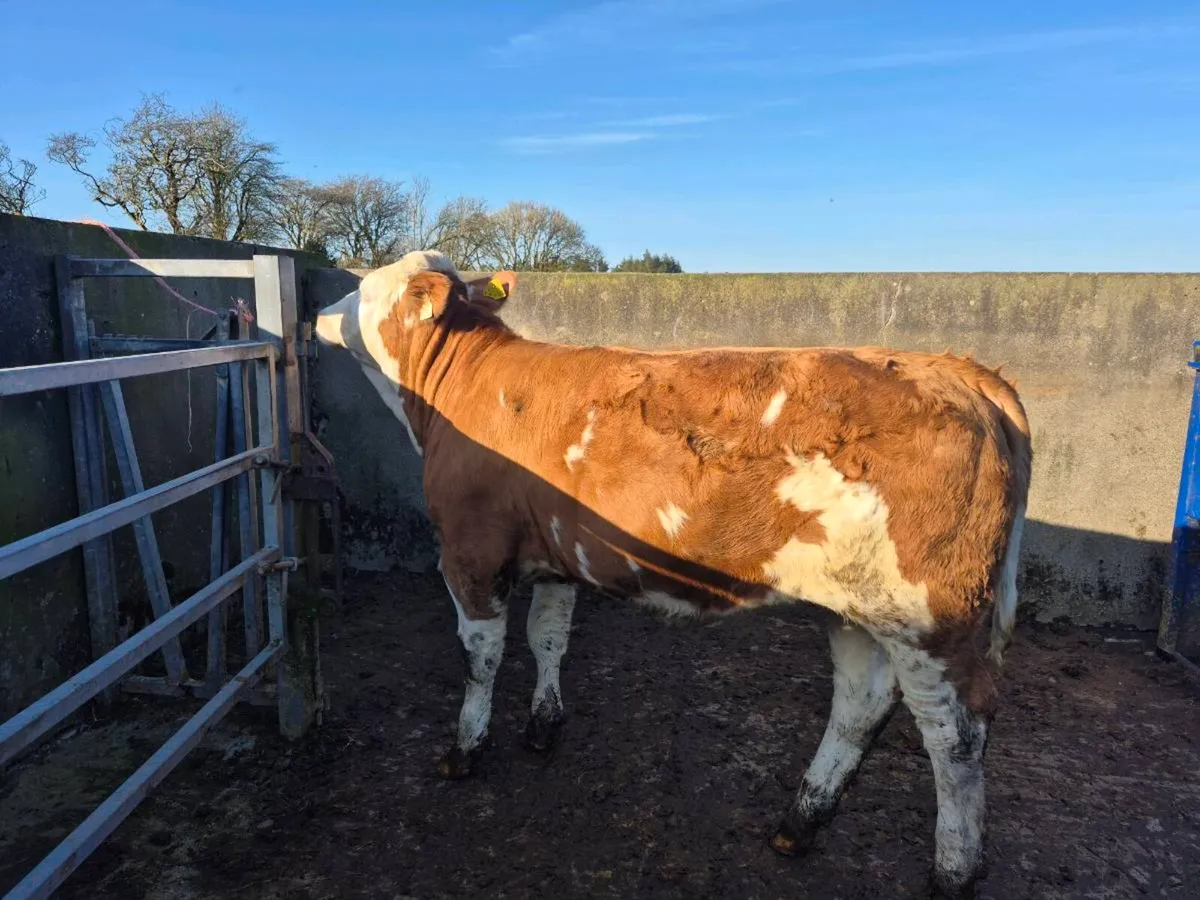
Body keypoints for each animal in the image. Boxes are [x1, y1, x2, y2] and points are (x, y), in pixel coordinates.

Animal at [314, 250, 1031, 898]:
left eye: (367, 289)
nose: (319, 314)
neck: (467, 386)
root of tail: (956, 369)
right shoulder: (556, 557)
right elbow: (548, 639)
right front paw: (543, 727)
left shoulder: (469, 551)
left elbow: (480, 657)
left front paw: (465, 749)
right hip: (860, 606)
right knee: (861, 703)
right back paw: (799, 823)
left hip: (935, 615)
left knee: (955, 733)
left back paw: (953, 873)